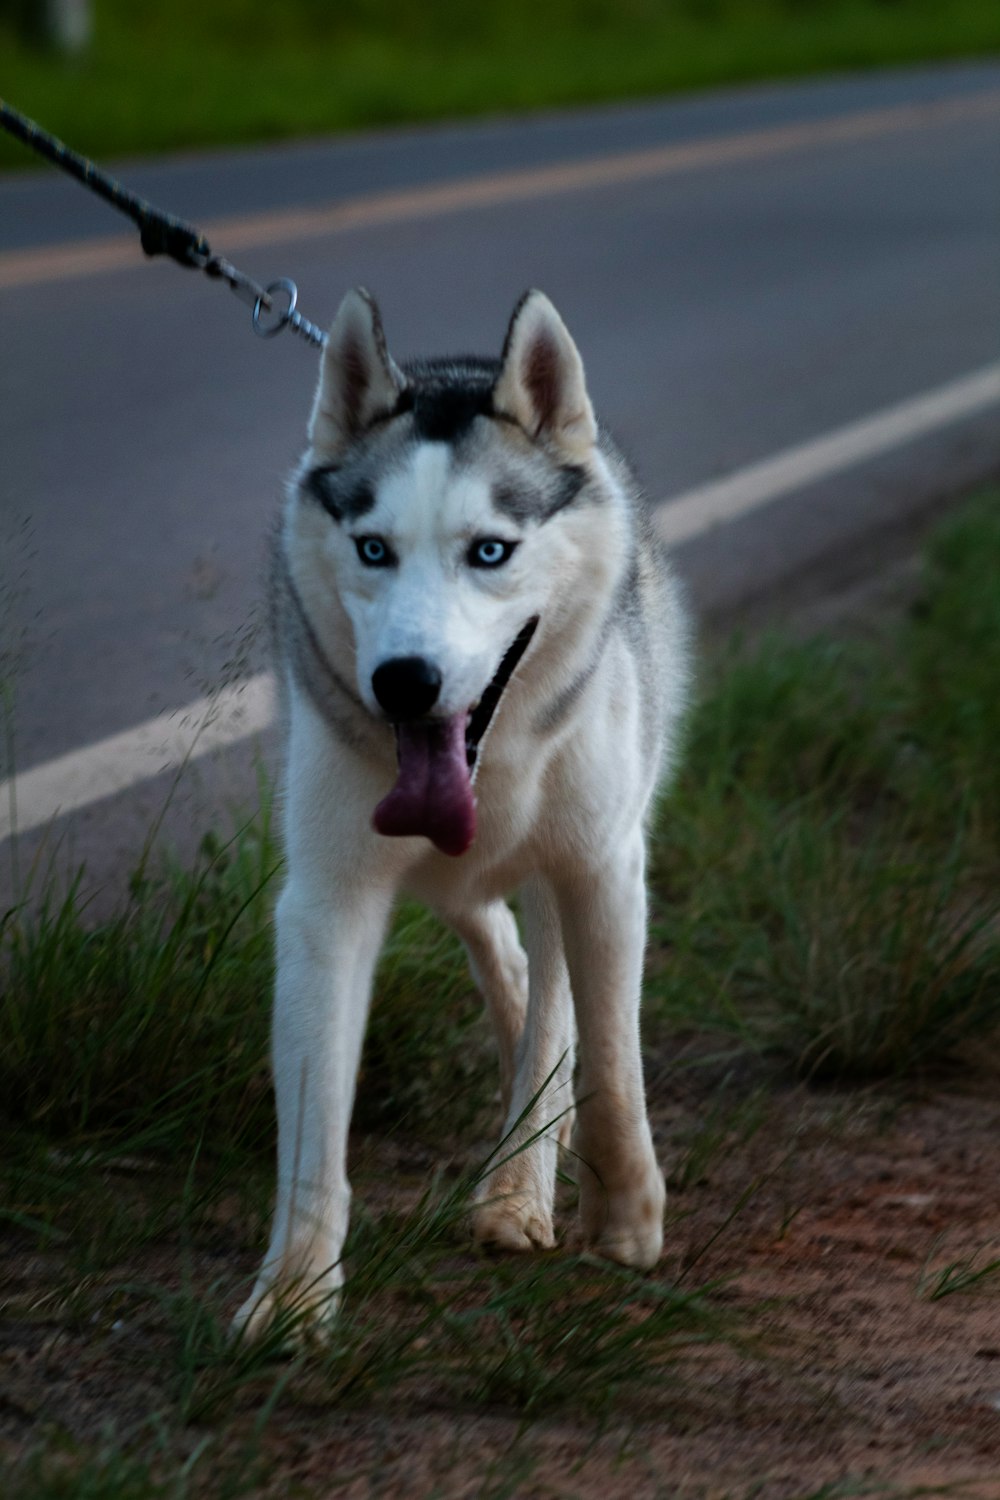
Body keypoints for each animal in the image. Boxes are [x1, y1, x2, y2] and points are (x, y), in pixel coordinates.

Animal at [233, 283, 689, 1338]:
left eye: (490, 552)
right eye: (373, 549)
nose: (404, 682)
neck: (497, 760)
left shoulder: (602, 868)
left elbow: (610, 1058)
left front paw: (625, 1213)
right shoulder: (327, 903)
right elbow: (313, 1117)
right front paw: (295, 1291)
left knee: (555, 1004)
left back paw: (522, 1178)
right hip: (450, 878)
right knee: (498, 945)